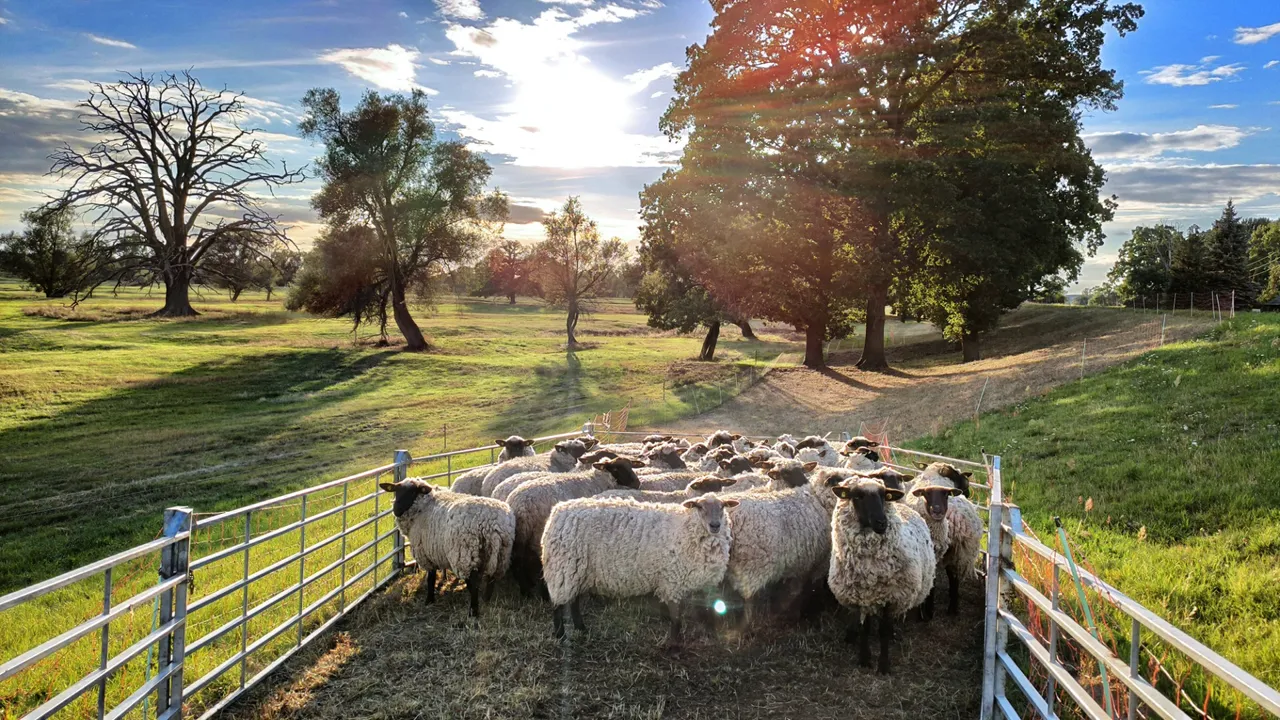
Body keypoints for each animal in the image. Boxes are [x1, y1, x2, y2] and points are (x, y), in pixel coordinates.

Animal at [376, 476, 512, 617]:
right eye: (396, 491)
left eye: (413, 492)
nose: (396, 510)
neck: (422, 506)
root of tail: (491, 524)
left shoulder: (425, 552)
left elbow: (431, 578)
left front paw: (429, 600)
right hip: (501, 553)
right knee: (492, 578)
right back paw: (486, 600)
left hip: (464, 555)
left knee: (473, 584)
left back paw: (473, 612)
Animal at [504, 456, 645, 591]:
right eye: (616, 469)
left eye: (631, 466)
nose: (637, 483)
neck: (599, 480)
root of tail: (518, 504)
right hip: (534, 532)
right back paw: (527, 589)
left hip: (522, 533)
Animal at [540, 491, 742, 638]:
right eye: (699, 507)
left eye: (722, 506)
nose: (715, 525)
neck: (687, 530)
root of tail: (556, 512)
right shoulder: (673, 581)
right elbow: (676, 618)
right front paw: (675, 643)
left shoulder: (705, 581)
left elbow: (708, 611)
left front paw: (710, 632)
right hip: (563, 569)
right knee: (558, 605)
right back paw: (560, 634)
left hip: (578, 571)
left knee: (573, 601)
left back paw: (581, 628)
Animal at [824, 476, 936, 671]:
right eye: (857, 496)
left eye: (884, 496)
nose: (882, 523)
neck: (871, 571)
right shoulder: (862, 597)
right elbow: (865, 628)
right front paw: (864, 659)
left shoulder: (892, 597)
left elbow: (883, 630)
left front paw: (883, 665)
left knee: (888, 624)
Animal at [906, 461, 983, 614]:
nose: (967, 493)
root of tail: (954, 515)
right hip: (961, 552)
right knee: (954, 577)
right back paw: (952, 608)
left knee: (938, 579)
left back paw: (929, 611)